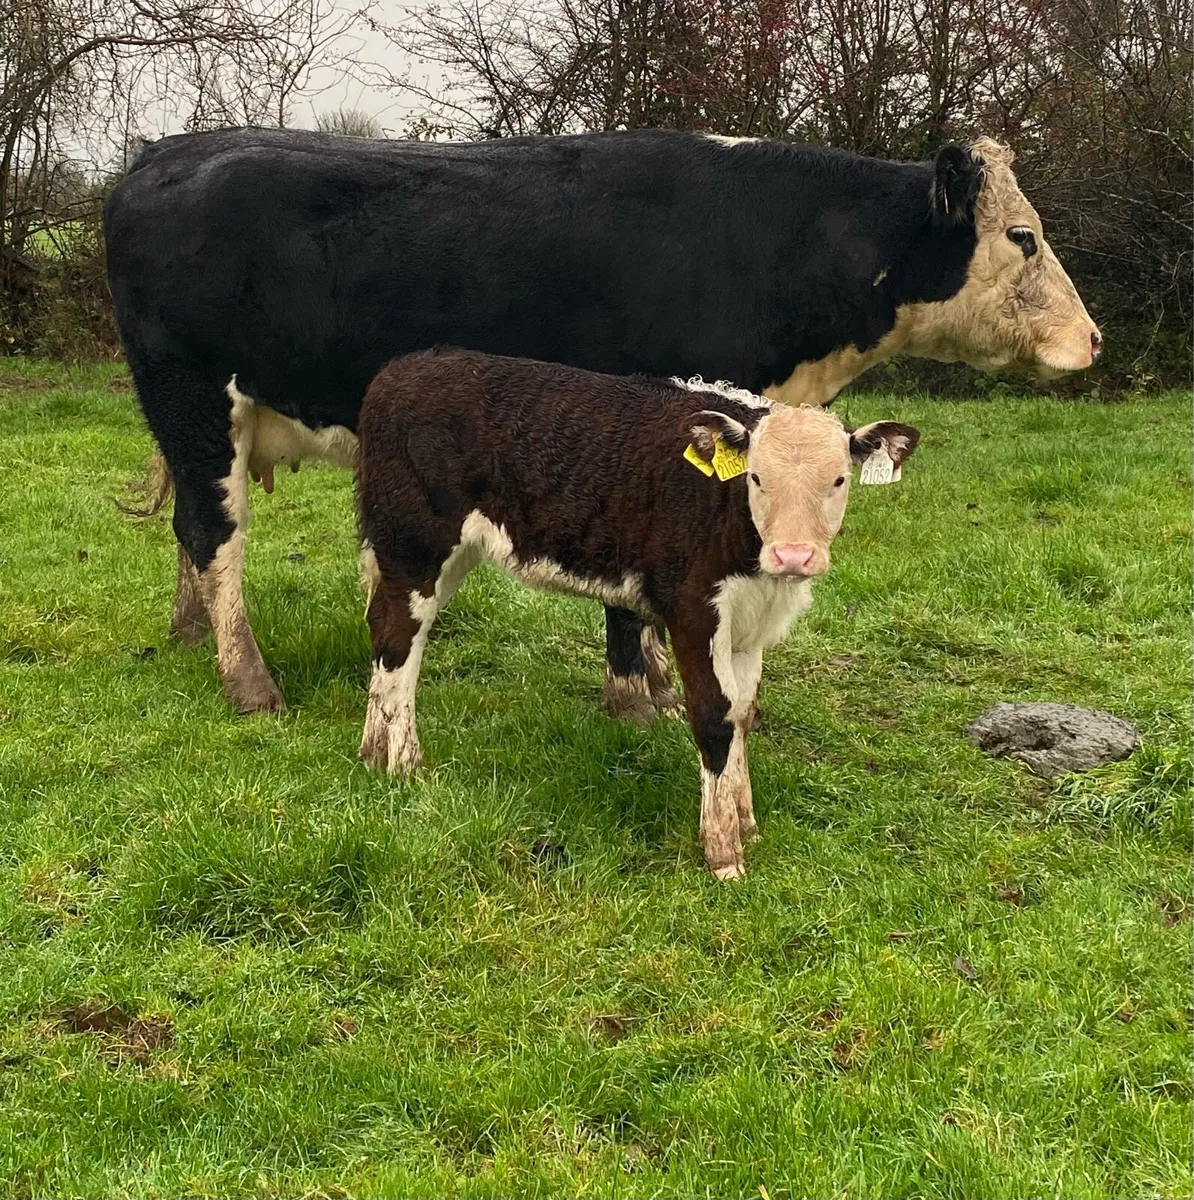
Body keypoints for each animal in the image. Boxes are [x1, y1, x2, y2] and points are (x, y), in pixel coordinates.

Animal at [102, 128, 1097, 718]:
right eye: (1023, 237)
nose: (1091, 339)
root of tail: (164, 152)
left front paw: (651, 678)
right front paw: (637, 693)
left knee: (192, 530)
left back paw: (192, 635)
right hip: (196, 396)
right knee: (216, 531)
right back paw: (248, 680)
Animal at [356, 349, 921, 878]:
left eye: (839, 480)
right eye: (757, 478)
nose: (794, 556)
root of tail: (403, 368)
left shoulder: (749, 626)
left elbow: (742, 714)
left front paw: (745, 823)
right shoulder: (692, 610)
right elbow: (715, 716)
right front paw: (723, 852)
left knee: (393, 633)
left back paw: (373, 751)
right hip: (415, 545)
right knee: (398, 638)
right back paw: (403, 762)